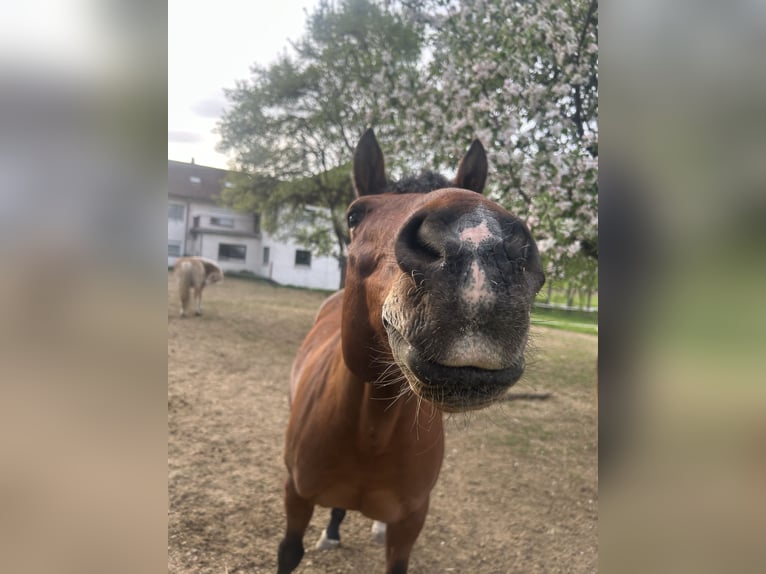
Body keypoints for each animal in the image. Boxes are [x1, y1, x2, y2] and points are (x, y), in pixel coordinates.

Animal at [278, 129, 545, 574]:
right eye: (355, 215)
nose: (479, 245)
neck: (371, 433)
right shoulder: (295, 496)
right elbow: (289, 551)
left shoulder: (410, 523)